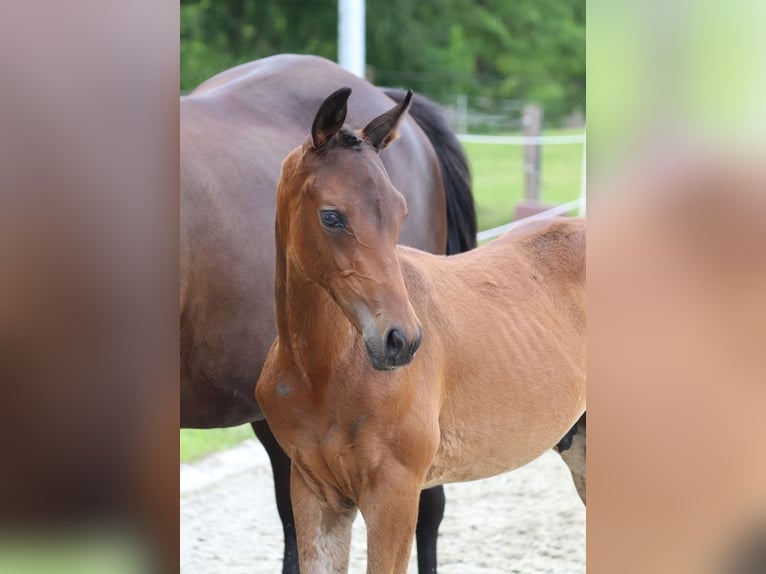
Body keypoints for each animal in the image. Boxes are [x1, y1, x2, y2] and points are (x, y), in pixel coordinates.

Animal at [258, 88, 588, 572]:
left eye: (400, 211)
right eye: (331, 216)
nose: (402, 340)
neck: (324, 369)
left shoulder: (394, 494)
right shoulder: (315, 495)